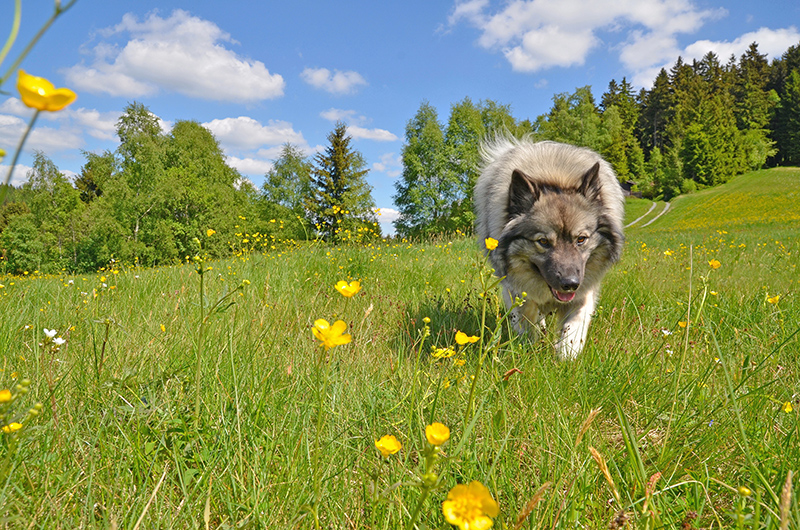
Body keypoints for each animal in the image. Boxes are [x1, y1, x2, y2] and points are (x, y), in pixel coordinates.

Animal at [476, 136, 624, 358]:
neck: (556, 180)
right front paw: (530, 345)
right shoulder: (516, 289)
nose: (570, 284)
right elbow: (527, 317)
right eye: (543, 242)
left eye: (581, 239)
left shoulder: (584, 291)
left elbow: (574, 326)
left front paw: (567, 355)